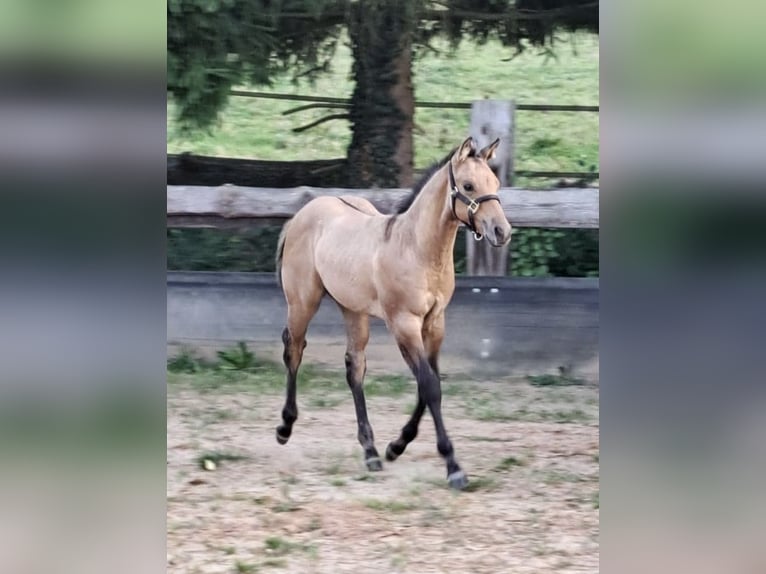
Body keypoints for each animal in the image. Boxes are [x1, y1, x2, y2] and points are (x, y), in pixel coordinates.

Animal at [274, 136, 512, 489]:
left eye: (495, 183)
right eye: (469, 185)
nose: (502, 231)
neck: (416, 249)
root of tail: (301, 214)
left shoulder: (434, 324)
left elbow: (428, 383)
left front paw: (396, 446)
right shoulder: (404, 324)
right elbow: (430, 386)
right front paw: (453, 466)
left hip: (353, 310)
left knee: (354, 366)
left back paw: (371, 451)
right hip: (303, 302)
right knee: (294, 350)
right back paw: (285, 428)